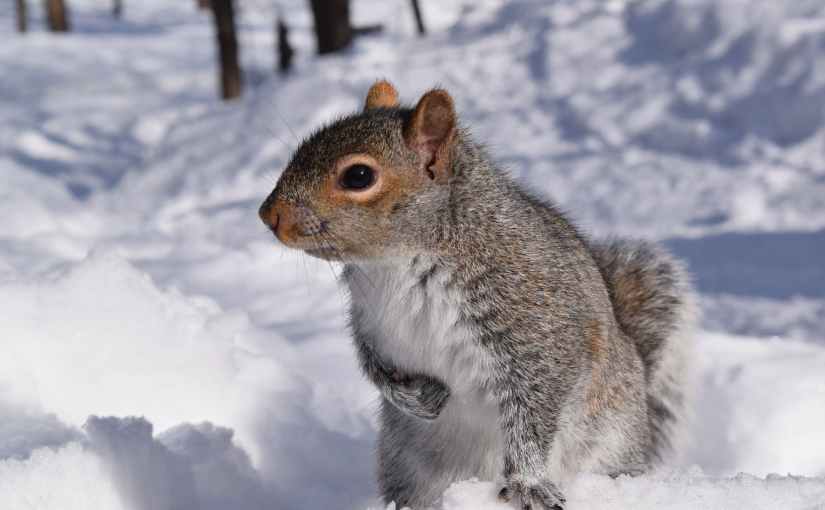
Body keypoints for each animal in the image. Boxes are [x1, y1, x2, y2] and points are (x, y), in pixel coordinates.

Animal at [259, 80, 696, 510]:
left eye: (359, 176)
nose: (268, 215)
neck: (396, 264)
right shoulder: (370, 322)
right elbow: (374, 366)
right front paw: (418, 398)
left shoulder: (538, 324)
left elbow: (533, 409)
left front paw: (528, 483)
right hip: (407, 468)